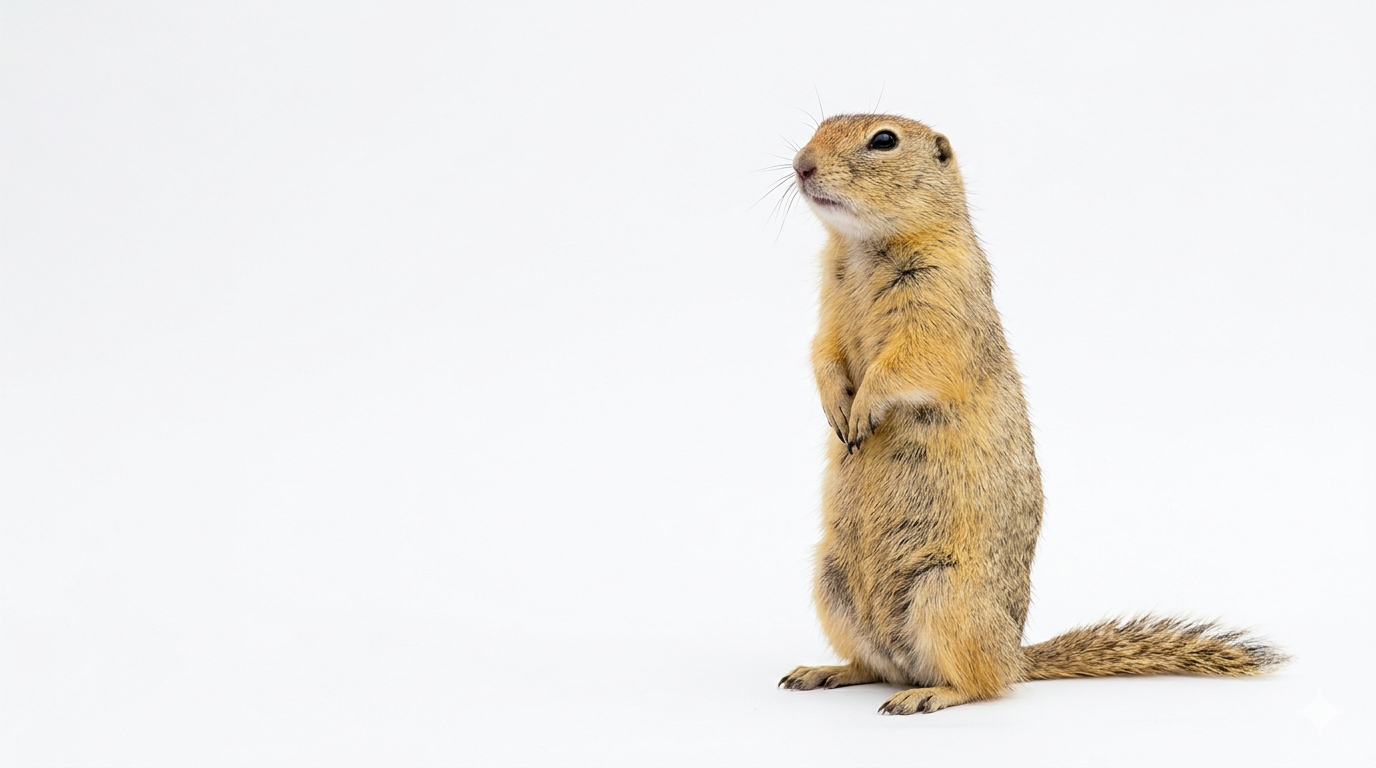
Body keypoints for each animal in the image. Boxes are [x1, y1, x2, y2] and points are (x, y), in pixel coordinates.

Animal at [777, 114, 1288, 715]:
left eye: (884, 140)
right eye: (819, 126)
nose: (801, 165)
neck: (861, 248)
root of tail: (1017, 654)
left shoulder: (941, 298)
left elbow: (911, 358)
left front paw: (862, 411)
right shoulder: (828, 308)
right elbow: (823, 351)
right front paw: (836, 406)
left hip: (947, 597)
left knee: (982, 683)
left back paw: (926, 695)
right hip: (831, 583)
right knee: (875, 666)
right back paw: (823, 671)